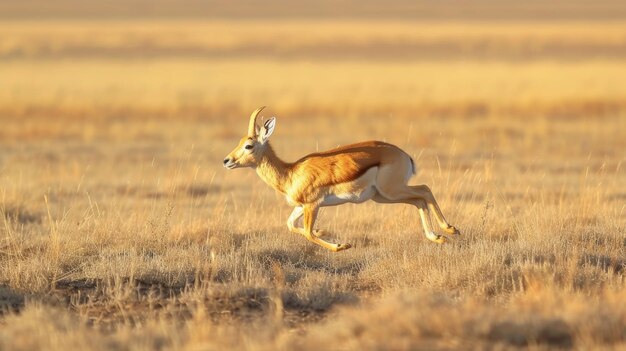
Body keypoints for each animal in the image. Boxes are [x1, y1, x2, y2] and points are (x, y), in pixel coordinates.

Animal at [222, 107, 456, 253]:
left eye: (249, 145)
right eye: (240, 142)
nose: (227, 160)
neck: (290, 172)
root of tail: (403, 154)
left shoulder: (313, 206)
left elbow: (308, 233)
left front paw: (342, 246)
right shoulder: (300, 207)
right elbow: (290, 225)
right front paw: (323, 231)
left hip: (392, 191)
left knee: (424, 189)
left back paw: (450, 229)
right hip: (384, 196)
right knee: (419, 200)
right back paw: (437, 237)